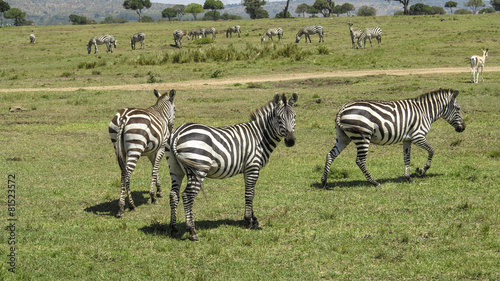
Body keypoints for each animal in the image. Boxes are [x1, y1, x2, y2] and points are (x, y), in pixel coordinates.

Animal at [108, 89, 177, 217]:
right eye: (174, 110)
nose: (171, 130)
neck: (161, 113)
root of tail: (124, 116)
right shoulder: (161, 147)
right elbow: (155, 170)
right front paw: (153, 196)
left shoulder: (151, 152)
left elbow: (155, 169)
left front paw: (159, 191)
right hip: (135, 147)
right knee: (126, 174)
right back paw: (126, 207)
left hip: (118, 147)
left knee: (123, 173)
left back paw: (127, 205)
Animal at [168, 92, 298, 241]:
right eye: (279, 118)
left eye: (294, 116)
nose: (290, 141)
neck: (259, 136)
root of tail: (178, 133)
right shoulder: (253, 167)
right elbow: (250, 193)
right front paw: (250, 221)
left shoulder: (247, 169)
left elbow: (250, 192)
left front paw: (252, 218)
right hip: (198, 168)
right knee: (187, 196)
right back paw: (192, 231)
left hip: (176, 170)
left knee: (173, 195)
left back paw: (173, 228)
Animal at [320, 88, 464, 188]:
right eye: (458, 108)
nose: (463, 128)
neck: (425, 112)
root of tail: (342, 108)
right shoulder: (418, 136)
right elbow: (432, 150)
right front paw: (422, 170)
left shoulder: (407, 139)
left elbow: (407, 158)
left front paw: (408, 178)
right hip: (363, 136)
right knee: (360, 160)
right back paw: (374, 182)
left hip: (343, 137)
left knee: (330, 155)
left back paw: (324, 182)